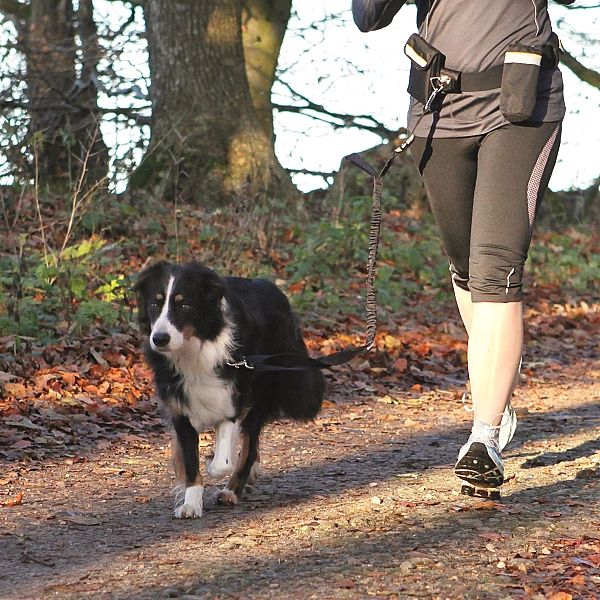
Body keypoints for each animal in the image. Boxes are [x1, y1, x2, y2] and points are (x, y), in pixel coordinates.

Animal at [134, 260, 326, 516]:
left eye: (184, 305)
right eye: (155, 304)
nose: (160, 339)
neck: (194, 351)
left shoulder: (233, 400)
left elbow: (221, 462)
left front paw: (214, 466)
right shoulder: (180, 409)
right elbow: (190, 461)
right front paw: (191, 503)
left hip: (266, 390)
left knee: (250, 446)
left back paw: (232, 490)